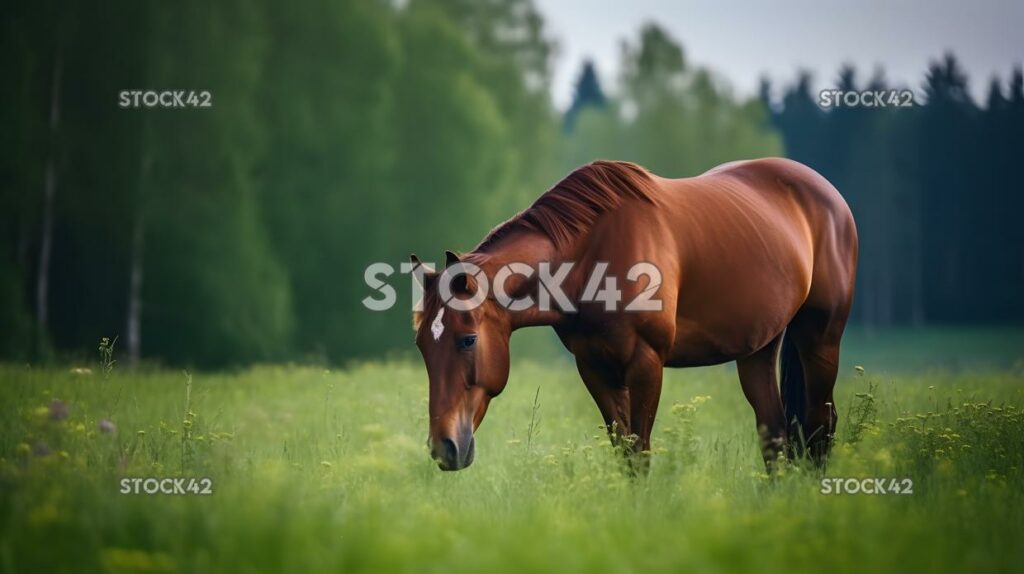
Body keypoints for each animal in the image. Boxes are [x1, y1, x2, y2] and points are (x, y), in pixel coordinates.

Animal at [409, 156, 856, 470]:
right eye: (422, 347)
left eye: (468, 339)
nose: (444, 447)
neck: (592, 254)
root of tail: (828, 195)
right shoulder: (595, 368)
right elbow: (623, 455)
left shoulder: (646, 364)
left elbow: (639, 454)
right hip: (758, 350)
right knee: (775, 437)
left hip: (821, 341)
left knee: (820, 429)